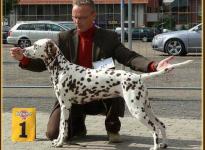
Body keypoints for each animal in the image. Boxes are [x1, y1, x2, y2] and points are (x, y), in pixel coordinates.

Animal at [23, 38, 192, 149]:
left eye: (36, 45)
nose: (23, 50)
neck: (61, 69)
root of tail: (137, 77)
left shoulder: (65, 106)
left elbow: (62, 127)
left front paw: (59, 143)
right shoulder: (66, 107)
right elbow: (61, 128)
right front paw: (58, 141)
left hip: (137, 110)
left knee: (154, 129)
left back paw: (156, 146)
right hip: (146, 107)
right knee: (161, 124)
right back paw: (164, 144)